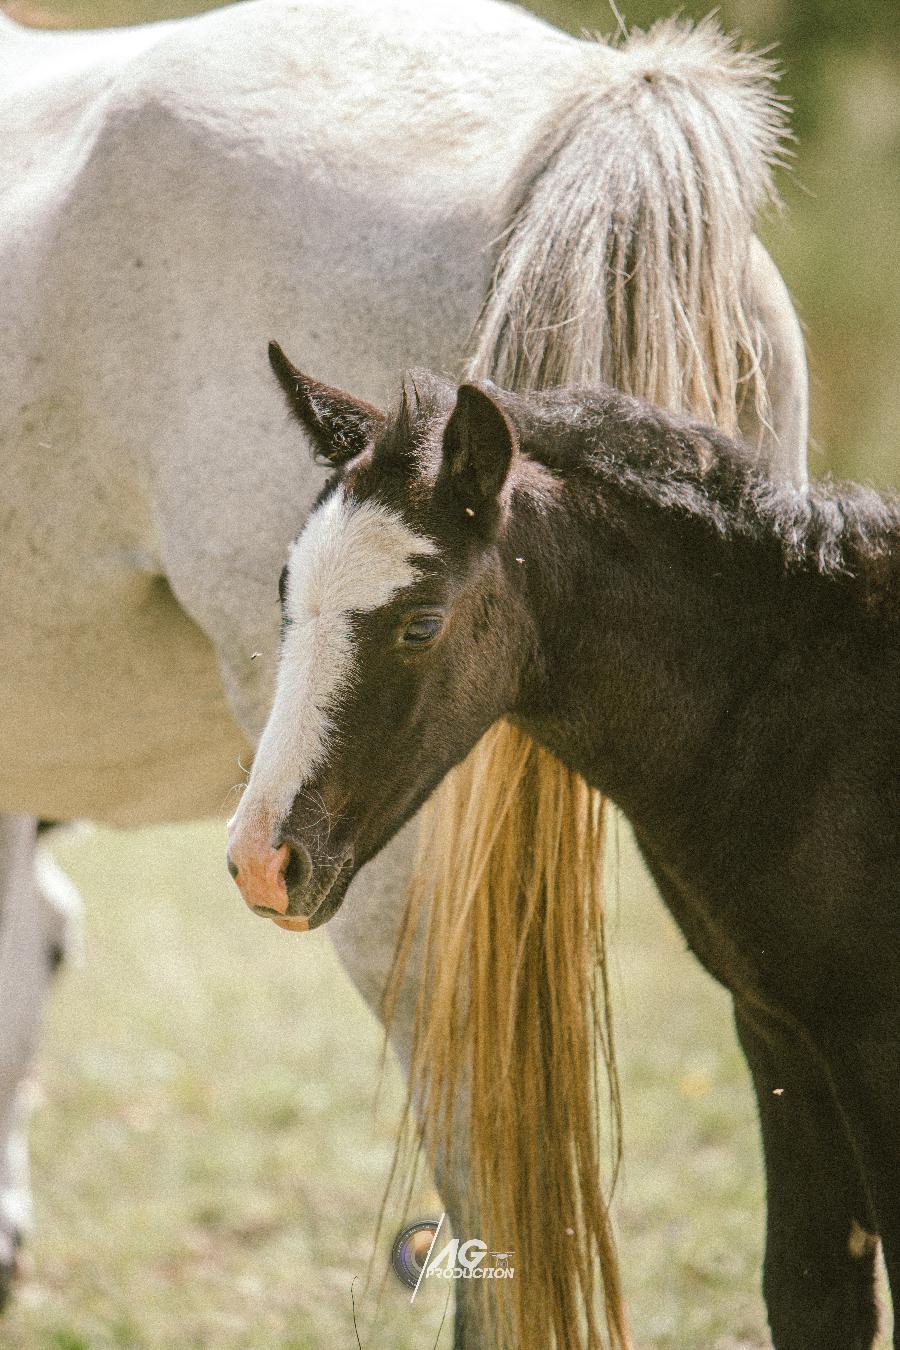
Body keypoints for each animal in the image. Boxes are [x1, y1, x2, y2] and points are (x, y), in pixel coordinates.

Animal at [234, 342, 900, 1344]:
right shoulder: (782, 1033)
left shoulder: (870, 1045)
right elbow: (812, 1293)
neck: (805, 714)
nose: (263, 862)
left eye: (421, 623)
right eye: (285, 597)